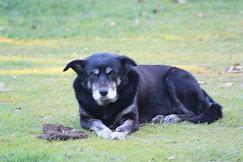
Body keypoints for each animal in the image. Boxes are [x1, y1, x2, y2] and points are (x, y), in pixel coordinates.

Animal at [63, 52, 223, 139]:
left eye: (112, 73)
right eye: (93, 75)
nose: (103, 92)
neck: (106, 105)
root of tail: (201, 89)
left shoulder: (132, 118)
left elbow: (124, 127)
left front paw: (118, 133)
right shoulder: (85, 119)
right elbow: (97, 123)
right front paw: (106, 132)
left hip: (175, 76)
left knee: (191, 112)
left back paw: (171, 118)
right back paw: (159, 117)